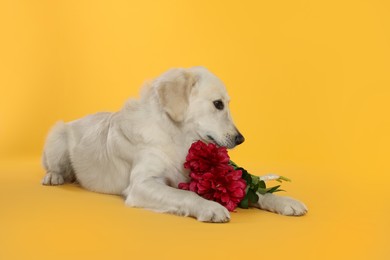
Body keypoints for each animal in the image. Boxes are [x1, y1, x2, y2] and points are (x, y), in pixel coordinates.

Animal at [41, 66, 306, 221]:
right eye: (218, 104)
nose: (241, 139)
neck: (175, 136)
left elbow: (257, 190)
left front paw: (285, 202)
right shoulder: (143, 184)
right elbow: (186, 195)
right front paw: (210, 207)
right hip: (57, 136)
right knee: (53, 166)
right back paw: (54, 177)